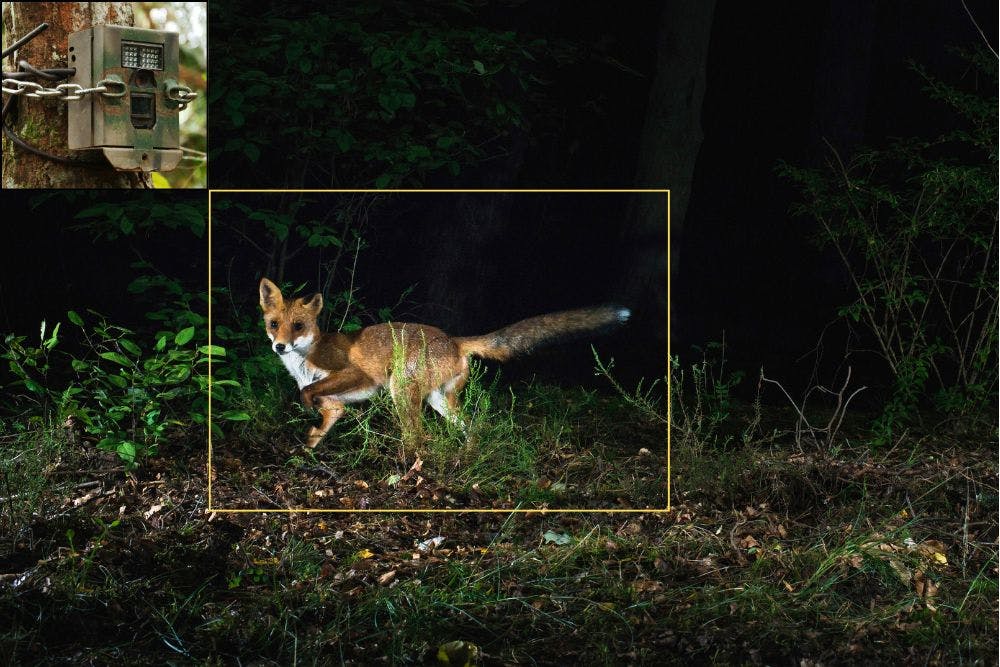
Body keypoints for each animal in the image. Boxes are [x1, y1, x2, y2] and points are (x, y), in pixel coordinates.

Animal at [259, 277, 630, 449]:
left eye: (298, 326)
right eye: (274, 324)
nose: (280, 346)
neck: (305, 361)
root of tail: (454, 339)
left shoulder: (354, 373)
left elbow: (308, 394)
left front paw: (305, 409)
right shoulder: (335, 406)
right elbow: (318, 427)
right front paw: (303, 454)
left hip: (401, 391)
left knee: (419, 437)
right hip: (440, 400)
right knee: (472, 427)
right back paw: (464, 459)